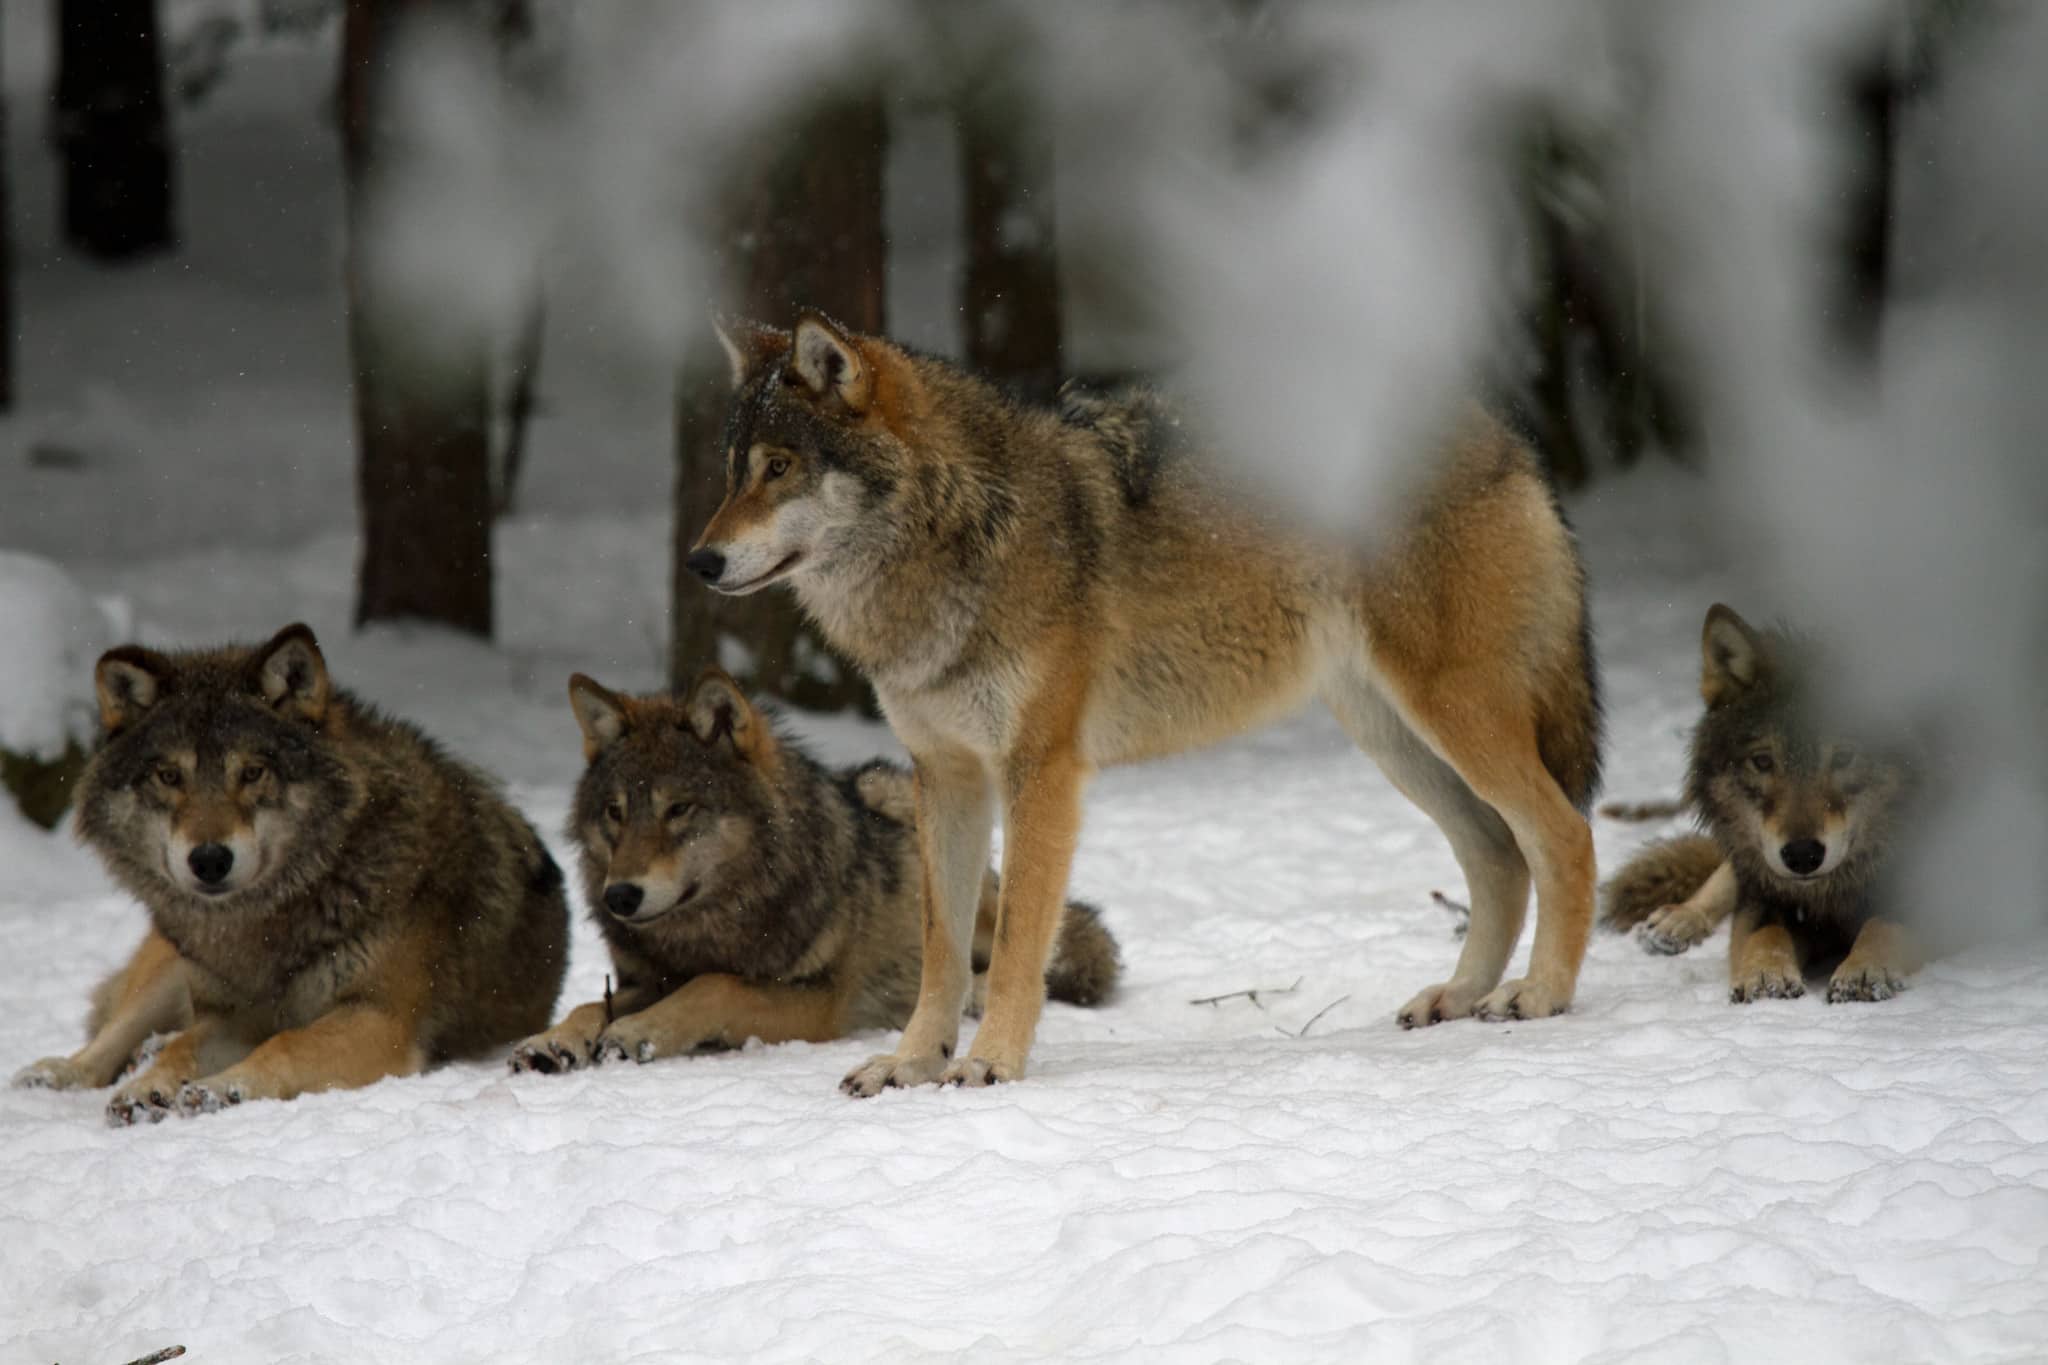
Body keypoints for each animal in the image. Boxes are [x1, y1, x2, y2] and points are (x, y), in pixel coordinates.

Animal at [684, 315, 1597, 1096]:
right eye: (731, 471)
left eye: (780, 467)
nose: (700, 561)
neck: (958, 535)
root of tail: (1504, 430)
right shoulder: (945, 776)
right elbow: (943, 949)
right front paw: (910, 1063)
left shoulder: (1041, 771)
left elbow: (1014, 944)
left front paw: (990, 1062)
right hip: (1395, 739)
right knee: (1499, 857)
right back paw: (1461, 994)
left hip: (1452, 715)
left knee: (1565, 835)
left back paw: (1540, 994)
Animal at [1597, 609, 1916, 1002]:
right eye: (1762, 762)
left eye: (1843, 757)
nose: (1802, 855)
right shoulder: (1766, 896)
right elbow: (1763, 933)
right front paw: (1766, 976)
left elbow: (1884, 924)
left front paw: (1864, 970)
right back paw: (1675, 922)